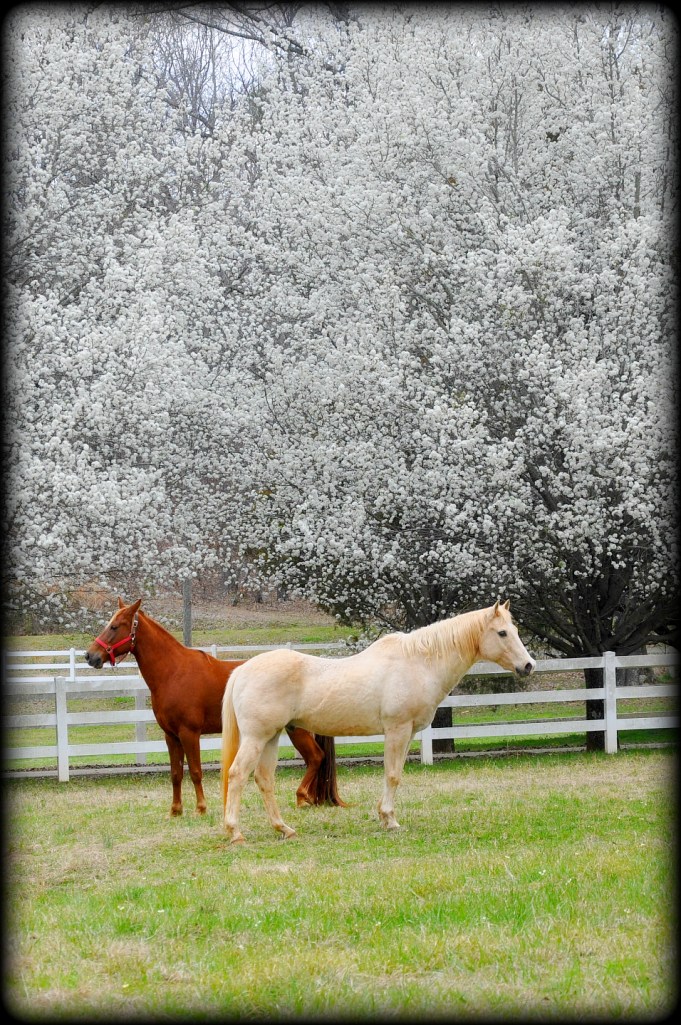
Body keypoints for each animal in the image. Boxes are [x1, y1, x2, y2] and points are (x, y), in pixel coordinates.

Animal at [84, 598, 346, 816]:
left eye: (115, 626)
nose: (90, 656)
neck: (174, 672)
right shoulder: (171, 736)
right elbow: (176, 774)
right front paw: (175, 810)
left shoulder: (189, 733)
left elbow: (195, 771)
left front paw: (201, 808)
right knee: (315, 758)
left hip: (298, 730)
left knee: (316, 757)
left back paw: (302, 797)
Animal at [221, 600, 535, 842]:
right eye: (502, 632)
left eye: (516, 630)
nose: (528, 665)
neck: (418, 662)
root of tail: (242, 670)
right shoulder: (397, 729)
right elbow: (393, 774)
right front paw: (390, 820)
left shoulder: (408, 734)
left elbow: (395, 774)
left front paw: (386, 817)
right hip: (257, 737)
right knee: (237, 775)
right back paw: (235, 832)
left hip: (271, 737)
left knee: (264, 779)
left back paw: (284, 829)